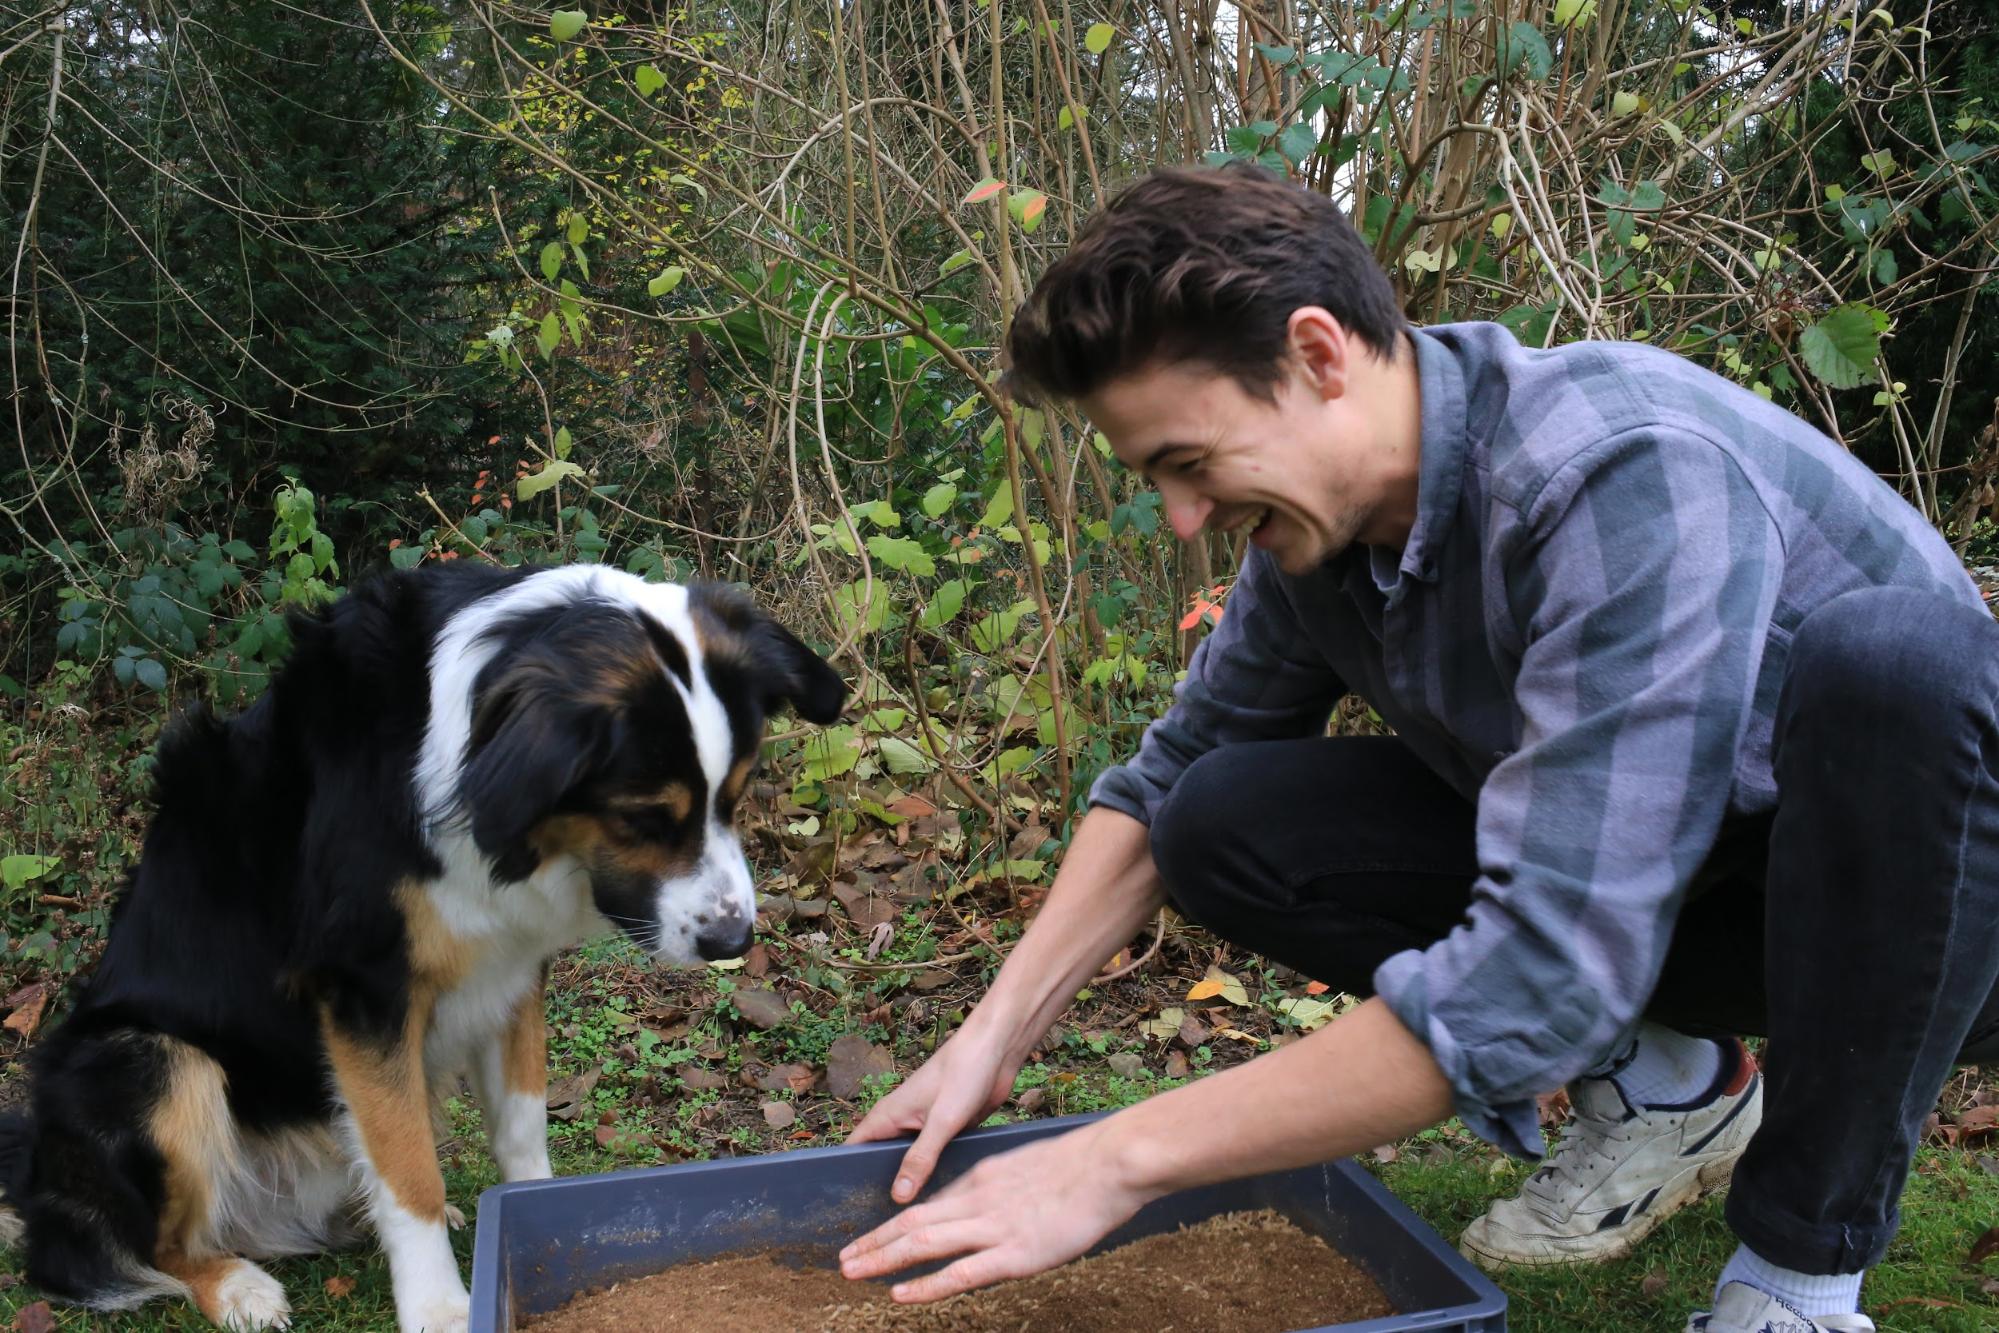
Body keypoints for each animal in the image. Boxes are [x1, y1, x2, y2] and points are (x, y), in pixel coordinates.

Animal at [0, 567, 843, 1333]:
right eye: (642, 816)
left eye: (735, 796)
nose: (734, 940)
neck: (462, 758)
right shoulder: (366, 990)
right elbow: (408, 1171)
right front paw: (439, 1305)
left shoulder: (511, 969)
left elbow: (519, 1126)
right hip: (148, 1060)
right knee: (143, 1248)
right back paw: (238, 1285)